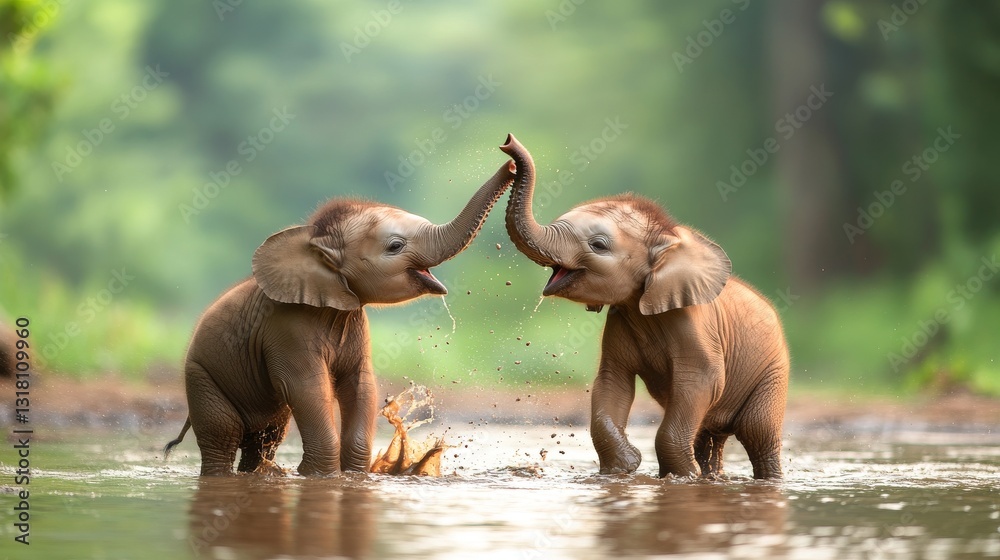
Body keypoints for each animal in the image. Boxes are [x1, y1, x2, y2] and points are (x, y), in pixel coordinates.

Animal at [165, 157, 516, 476]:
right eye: (395, 246)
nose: (511, 160)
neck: (316, 244)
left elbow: (361, 384)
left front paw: (353, 475)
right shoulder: (287, 329)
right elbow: (308, 388)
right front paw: (317, 476)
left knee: (266, 437)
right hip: (201, 375)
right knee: (223, 434)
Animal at [500, 134, 789, 479]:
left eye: (598, 245)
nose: (507, 145)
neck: (668, 237)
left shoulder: (693, 324)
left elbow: (701, 381)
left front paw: (681, 477)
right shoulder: (620, 321)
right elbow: (612, 381)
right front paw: (623, 468)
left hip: (773, 372)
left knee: (758, 432)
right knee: (708, 433)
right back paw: (711, 475)